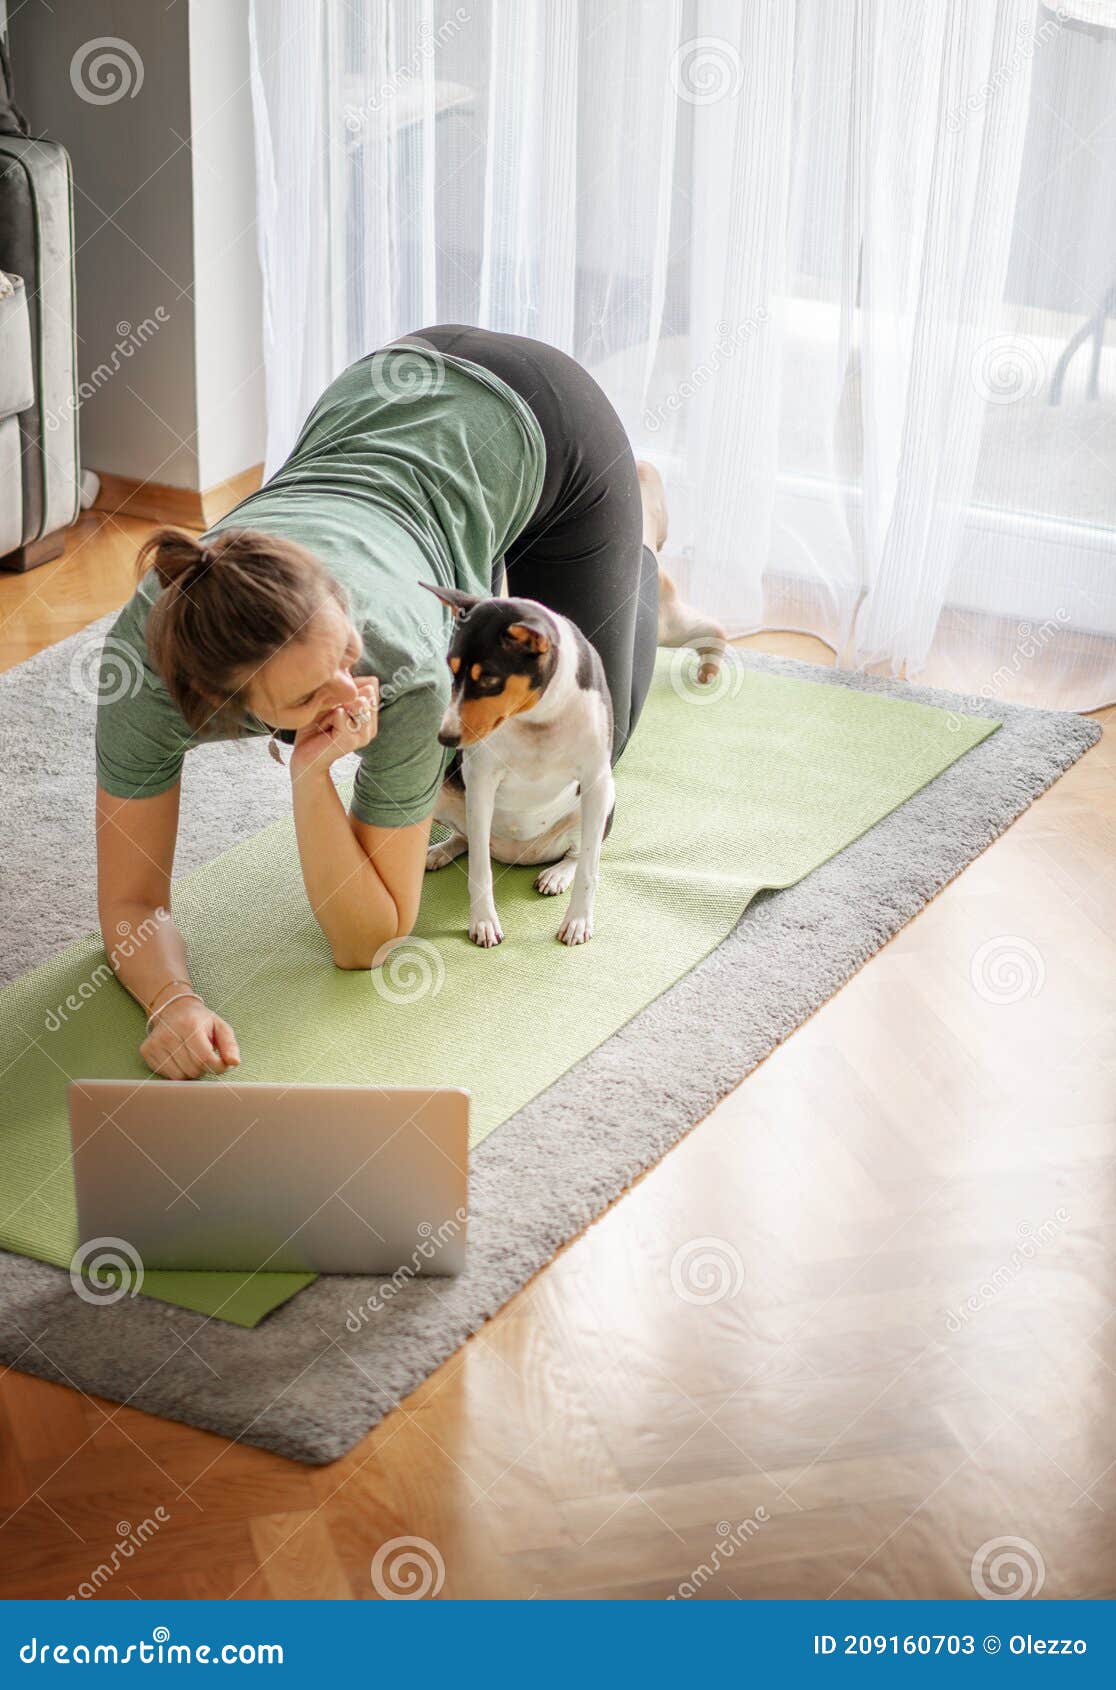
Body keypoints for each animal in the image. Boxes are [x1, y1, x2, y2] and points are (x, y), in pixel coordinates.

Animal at [421, 588, 615, 946]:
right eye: (452, 672)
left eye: (489, 678)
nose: (445, 737)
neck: (537, 717)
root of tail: (521, 854)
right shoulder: (481, 779)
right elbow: (479, 870)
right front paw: (483, 921)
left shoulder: (596, 779)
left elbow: (588, 870)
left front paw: (578, 920)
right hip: (451, 796)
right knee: (469, 840)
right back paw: (440, 850)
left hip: (604, 799)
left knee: (577, 853)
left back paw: (556, 874)